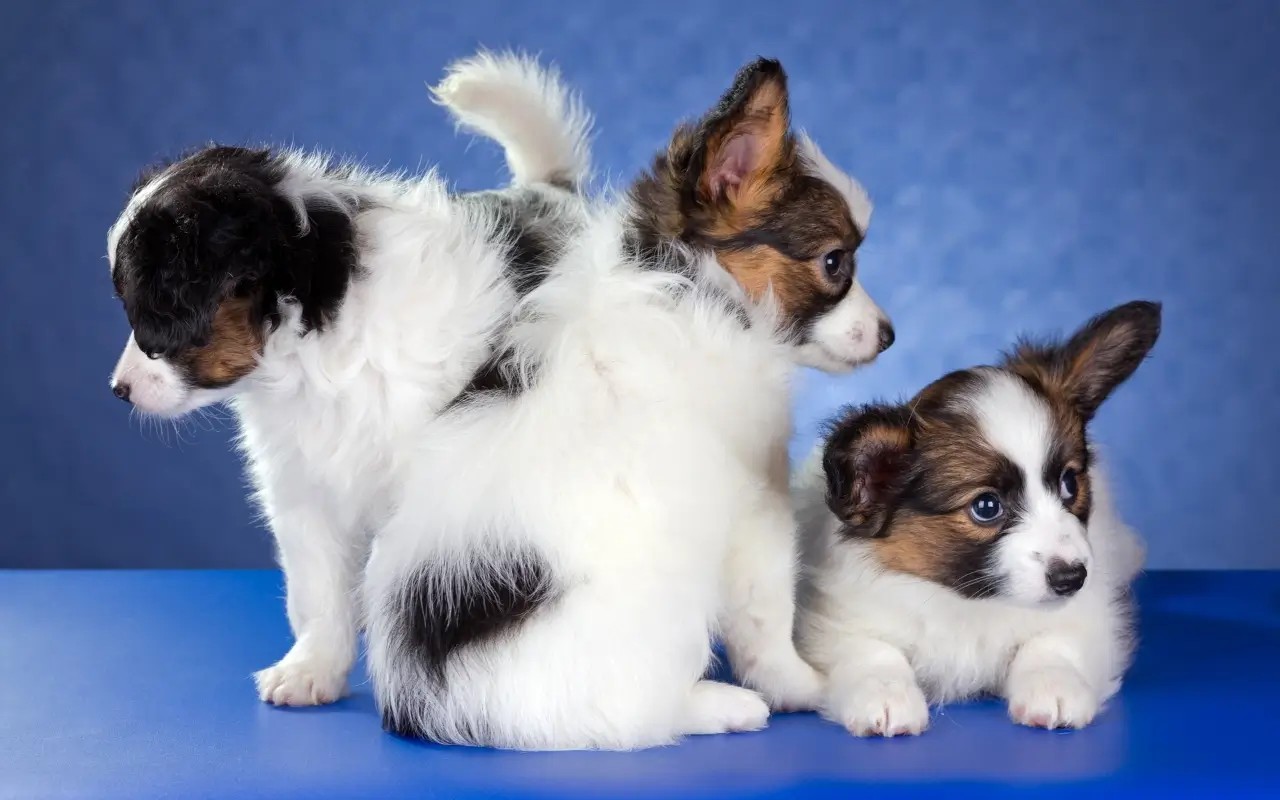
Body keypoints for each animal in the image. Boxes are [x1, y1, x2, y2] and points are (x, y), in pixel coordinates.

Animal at [106, 53, 593, 706]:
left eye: (151, 309)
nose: (120, 389)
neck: (316, 351)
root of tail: (552, 192)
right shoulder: (303, 489)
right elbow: (317, 590)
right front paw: (311, 668)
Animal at [366, 59, 896, 752]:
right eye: (836, 263)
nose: (889, 334)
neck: (696, 282)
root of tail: (442, 705)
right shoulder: (757, 508)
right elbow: (767, 617)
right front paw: (803, 686)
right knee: (638, 712)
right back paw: (722, 706)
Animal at [793, 300, 1157, 737]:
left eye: (1069, 483)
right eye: (986, 507)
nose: (1072, 578)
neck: (968, 600)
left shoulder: (1090, 617)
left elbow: (1051, 644)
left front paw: (1054, 687)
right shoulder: (835, 624)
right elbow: (872, 651)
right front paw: (885, 695)